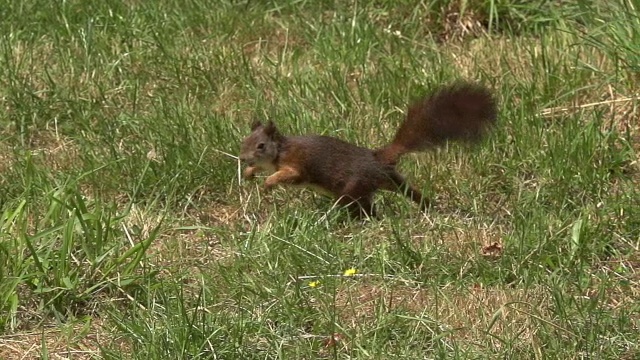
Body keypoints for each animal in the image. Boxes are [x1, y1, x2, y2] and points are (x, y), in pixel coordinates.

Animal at [238, 81, 498, 217]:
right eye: (244, 141)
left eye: (261, 145)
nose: (242, 158)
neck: (279, 152)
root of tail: (377, 159)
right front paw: (250, 173)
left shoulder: (297, 164)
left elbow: (289, 175)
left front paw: (268, 183)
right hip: (388, 180)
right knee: (401, 193)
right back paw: (425, 205)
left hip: (352, 187)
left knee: (362, 206)